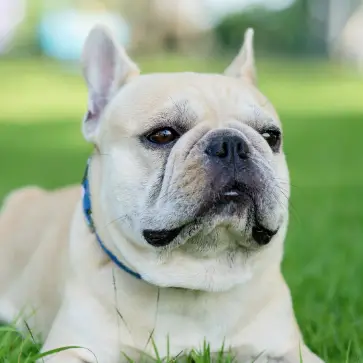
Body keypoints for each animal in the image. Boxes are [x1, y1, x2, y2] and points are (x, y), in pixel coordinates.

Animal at [0, 26, 324, 363]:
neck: (198, 272)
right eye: (162, 135)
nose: (231, 143)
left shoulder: (289, 349)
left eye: (271, 136)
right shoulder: (73, 350)